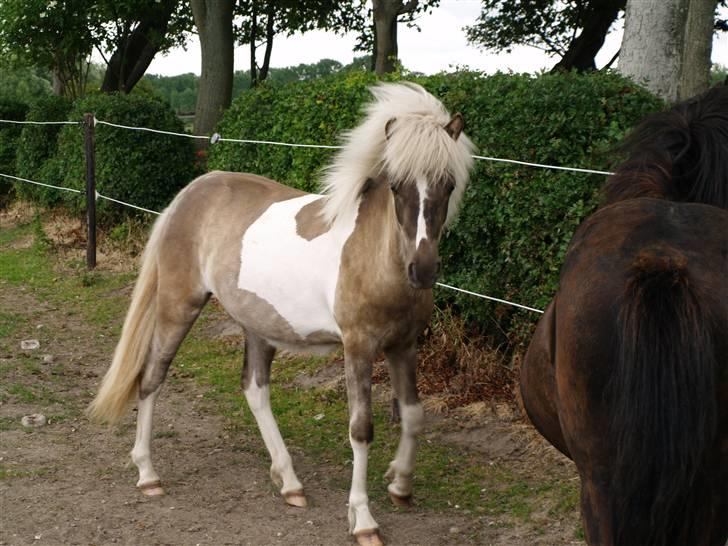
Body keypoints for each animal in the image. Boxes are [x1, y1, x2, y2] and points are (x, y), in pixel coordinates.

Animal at [88, 82, 474, 544]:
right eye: (397, 186)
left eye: (448, 185)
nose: (424, 269)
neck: (377, 257)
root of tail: (190, 193)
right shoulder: (359, 348)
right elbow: (361, 430)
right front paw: (363, 519)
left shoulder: (404, 345)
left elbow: (414, 415)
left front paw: (400, 484)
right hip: (178, 305)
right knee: (151, 378)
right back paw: (148, 474)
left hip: (257, 323)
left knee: (255, 389)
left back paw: (289, 482)